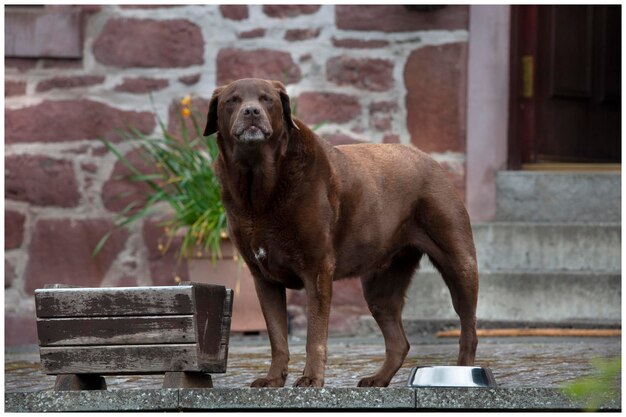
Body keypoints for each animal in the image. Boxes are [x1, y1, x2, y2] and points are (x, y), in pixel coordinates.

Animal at [202, 79, 476, 386]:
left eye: (266, 99)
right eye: (232, 100)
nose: (251, 111)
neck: (258, 185)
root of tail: (429, 159)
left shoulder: (317, 269)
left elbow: (314, 334)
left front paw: (311, 379)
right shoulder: (263, 277)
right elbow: (277, 337)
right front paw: (273, 379)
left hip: (458, 262)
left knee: (468, 326)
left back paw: (464, 374)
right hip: (381, 284)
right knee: (399, 341)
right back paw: (377, 379)